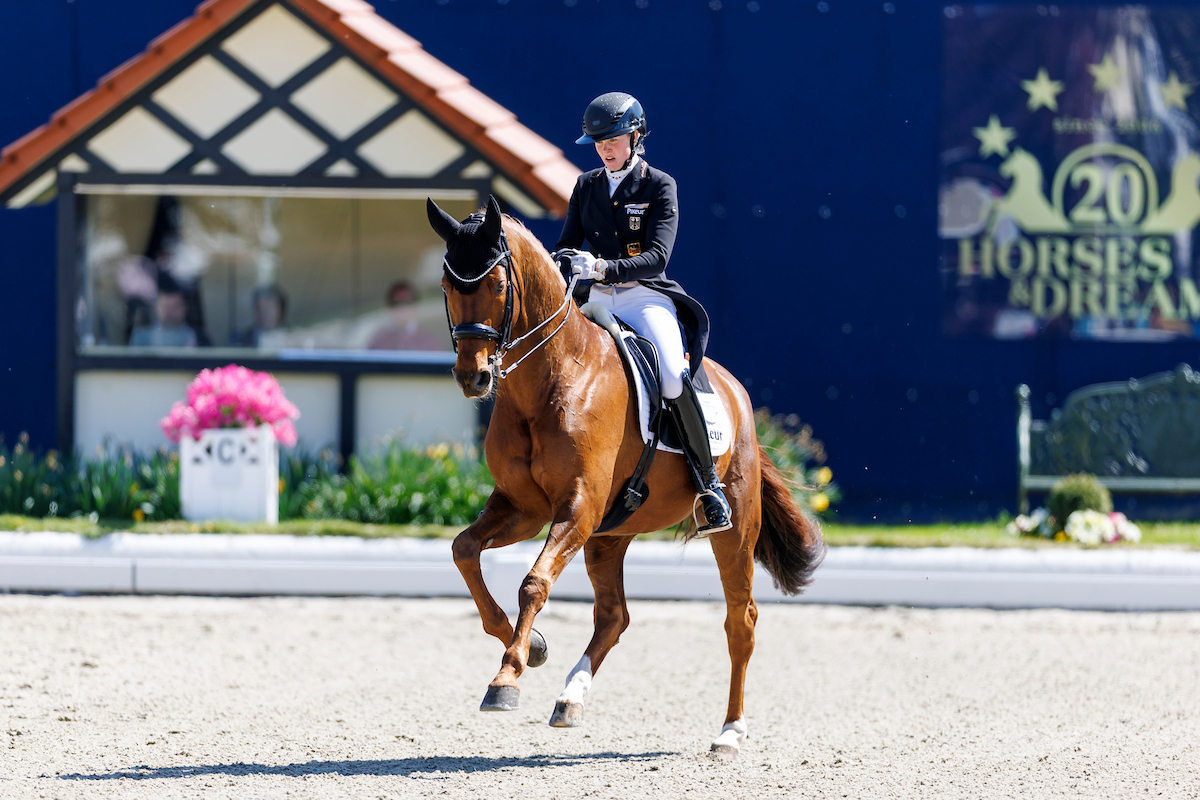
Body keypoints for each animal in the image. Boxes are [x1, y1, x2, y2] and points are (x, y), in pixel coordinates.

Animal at [427, 195, 825, 760]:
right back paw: (570, 699)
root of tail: (734, 391)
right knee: (614, 617)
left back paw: (730, 732)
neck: (552, 377)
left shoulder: (576, 507)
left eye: (498, 286)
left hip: (733, 528)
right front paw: (532, 647)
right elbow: (463, 550)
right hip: (608, 536)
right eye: (446, 287)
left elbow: (533, 582)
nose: (473, 377)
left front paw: (506, 679)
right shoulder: (524, 508)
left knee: (740, 621)